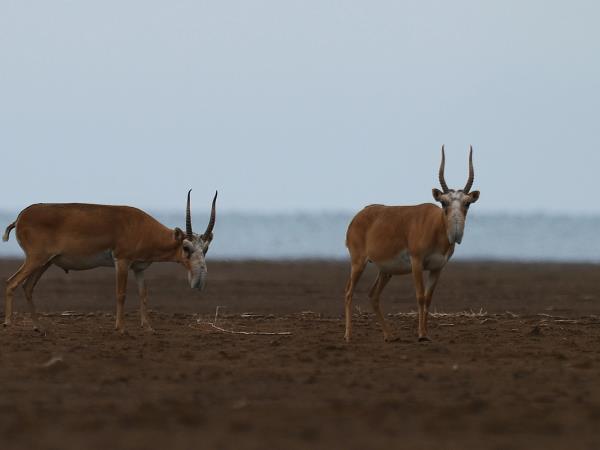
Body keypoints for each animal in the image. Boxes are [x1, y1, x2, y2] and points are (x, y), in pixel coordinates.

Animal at [1, 188, 218, 332]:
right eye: (186, 247)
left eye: (206, 249)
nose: (199, 279)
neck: (142, 227)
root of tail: (21, 216)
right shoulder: (121, 261)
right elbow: (121, 294)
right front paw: (120, 328)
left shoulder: (139, 268)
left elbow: (143, 294)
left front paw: (147, 326)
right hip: (36, 259)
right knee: (12, 282)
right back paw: (9, 323)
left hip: (45, 262)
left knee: (27, 287)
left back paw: (39, 326)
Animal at [344, 147, 480, 342]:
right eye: (443, 202)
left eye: (467, 203)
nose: (455, 233)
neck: (435, 226)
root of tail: (358, 216)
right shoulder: (417, 263)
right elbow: (420, 296)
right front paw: (421, 334)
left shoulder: (437, 268)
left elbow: (429, 298)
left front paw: (426, 333)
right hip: (358, 263)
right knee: (349, 292)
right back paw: (348, 335)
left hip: (385, 271)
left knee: (373, 295)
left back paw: (390, 336)